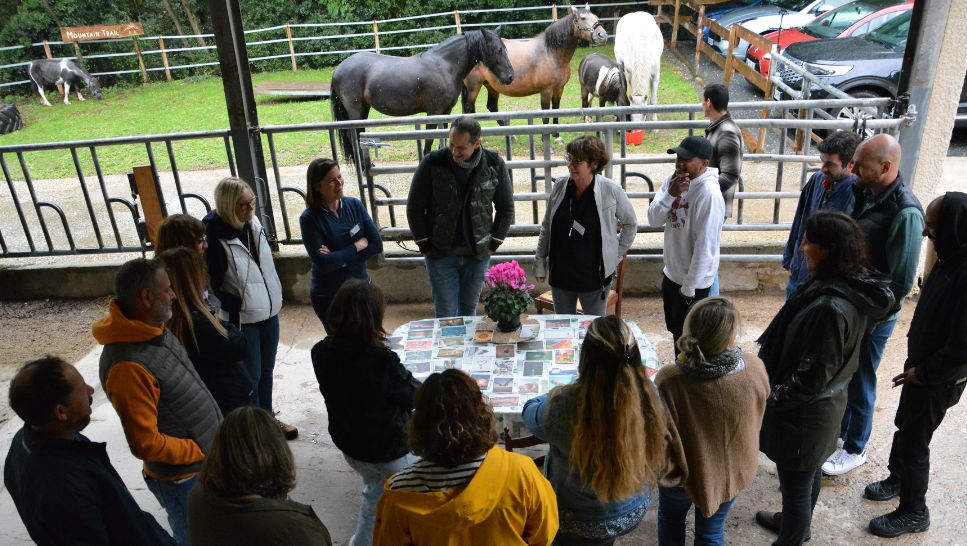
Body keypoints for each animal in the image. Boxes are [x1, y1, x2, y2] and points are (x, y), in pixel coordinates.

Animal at [330, 27, 516, 164]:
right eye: (498, 49)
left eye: (505, 49)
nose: (510, 77)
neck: (444, 66)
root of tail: (338, 70)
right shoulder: (434, 112)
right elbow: (429, 139)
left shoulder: (445, 112)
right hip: (355, 110)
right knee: (352, 136)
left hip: (364, 109)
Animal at [460, 4, 604, 143]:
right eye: (583, 18)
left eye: (596, 17)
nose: (602, 35)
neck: (550, 53)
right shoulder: (546, 91)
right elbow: (546, 115)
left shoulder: (559, 89)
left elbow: (556, 110)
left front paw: (557, 136)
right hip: (474, 87)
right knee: (469, 108)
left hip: (491, 86)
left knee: (491, 107)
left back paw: (510, 136)